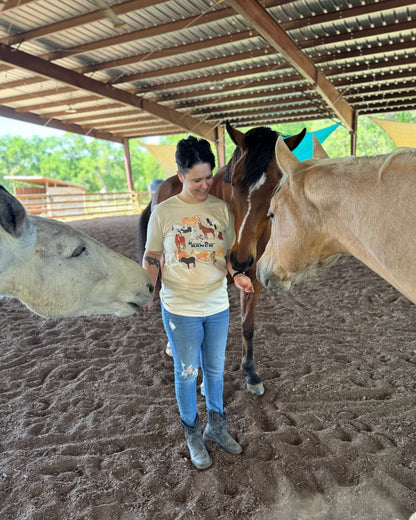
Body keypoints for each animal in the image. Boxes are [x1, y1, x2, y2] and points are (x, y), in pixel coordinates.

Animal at [139, 123, 306, 394]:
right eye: (234, 182)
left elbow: (247, 326)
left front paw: (251, 374)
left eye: (276, 187)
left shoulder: (252, 280)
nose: (239, 259)